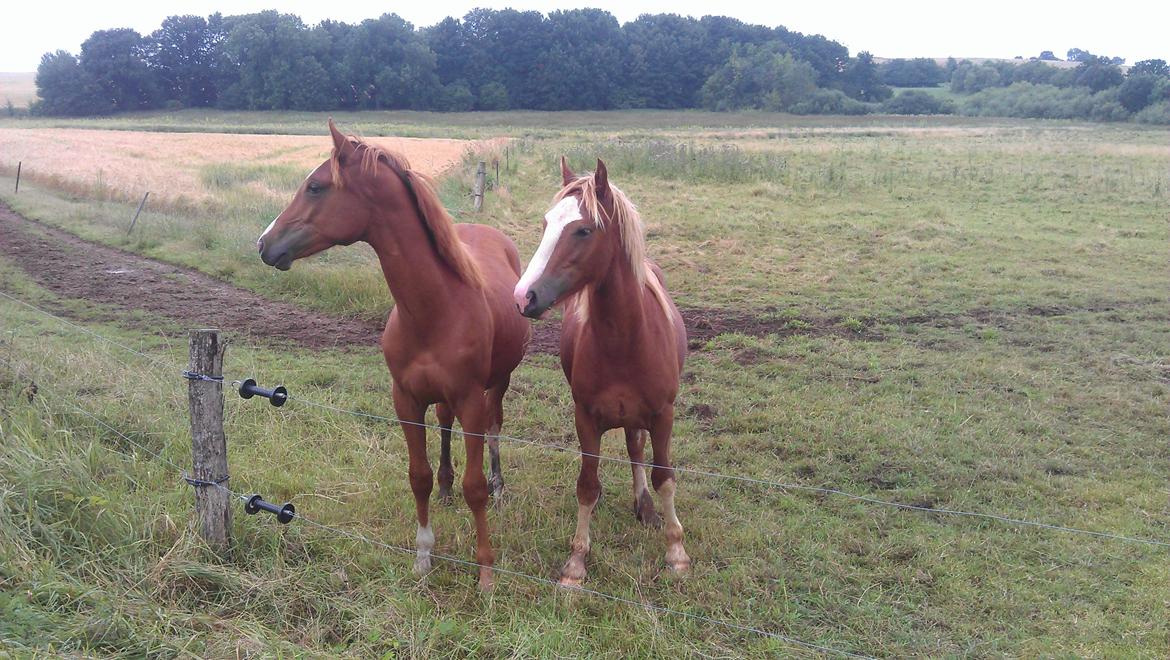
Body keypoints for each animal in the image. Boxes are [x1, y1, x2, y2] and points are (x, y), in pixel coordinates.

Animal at [259, 121, 531, 589]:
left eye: (316, 186)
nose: (264, 244)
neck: (435, 310)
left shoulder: (471, 400)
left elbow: (475, 485)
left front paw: (486, 572)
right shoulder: (406, 400)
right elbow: (417, 476)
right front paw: (423, 557)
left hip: (499, 382)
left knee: (495, 427)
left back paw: (500, 486)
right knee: (444, 425)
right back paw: (445, 487)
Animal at [514, 156, 692, 585]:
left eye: (583, 229)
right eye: (546, 223)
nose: (523, 297)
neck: (625, 341)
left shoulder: (664, 415)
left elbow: (665, 477)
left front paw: (676, 553)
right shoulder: (585, 418)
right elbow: (587, 485)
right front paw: (576, 562)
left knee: (637, 453)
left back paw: (645, 506)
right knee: (632, 449)